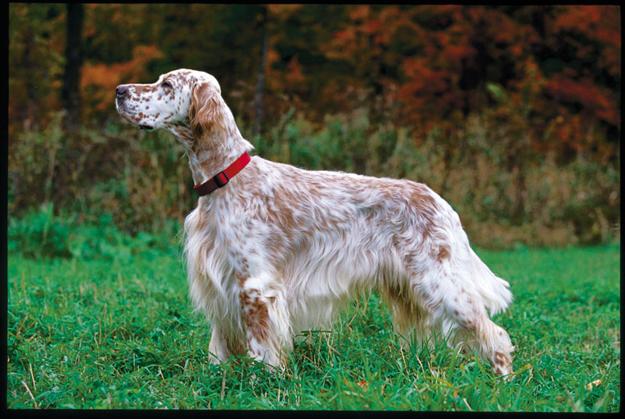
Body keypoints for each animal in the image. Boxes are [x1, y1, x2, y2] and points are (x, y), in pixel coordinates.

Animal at [114, 69, 516, 378]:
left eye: (167, 84)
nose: (119, 91)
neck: (224, 180)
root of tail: (441, 202)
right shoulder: (220, 283)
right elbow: (220, 346)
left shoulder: (255, 285)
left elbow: (261, 347)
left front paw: (263, 382)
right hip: (411, 288)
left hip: (440, 283)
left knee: (495, 334)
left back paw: (502, 382)